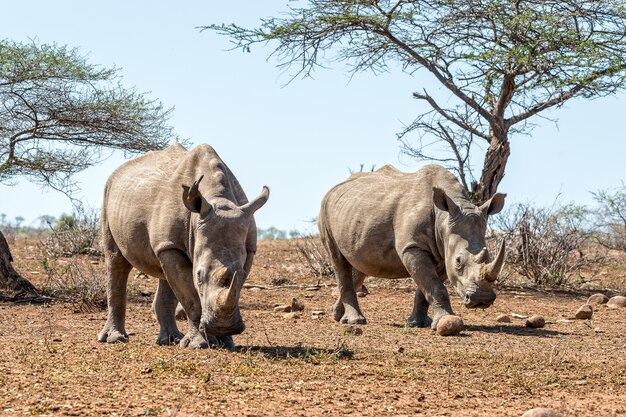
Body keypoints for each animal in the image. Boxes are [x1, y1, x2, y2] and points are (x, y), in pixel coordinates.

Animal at [96, 143, 266, 348]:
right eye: (199, 275)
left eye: (242, 274)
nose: (223, 327)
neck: (219, 200)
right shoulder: (172, 246)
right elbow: (191, 296)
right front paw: (199, 344)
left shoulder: (249, 246)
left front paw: (225, 341)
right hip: (108, 194)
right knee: (116, 261)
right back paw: (114, 339)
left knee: (165, 272)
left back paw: (170, 340)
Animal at [320, 164, 504, 326]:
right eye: (458, 261)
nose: (481, 299)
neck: (444, 218)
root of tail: (334, 188)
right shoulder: (413, 247)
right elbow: (435, 287)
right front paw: (445, 320)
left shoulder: (443, 254)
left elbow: (426, 288)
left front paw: (417, 323)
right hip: (325, 210)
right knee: (338, 260)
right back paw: (355, 321)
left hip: (354, 215)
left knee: (360, 265)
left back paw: (336, 315)